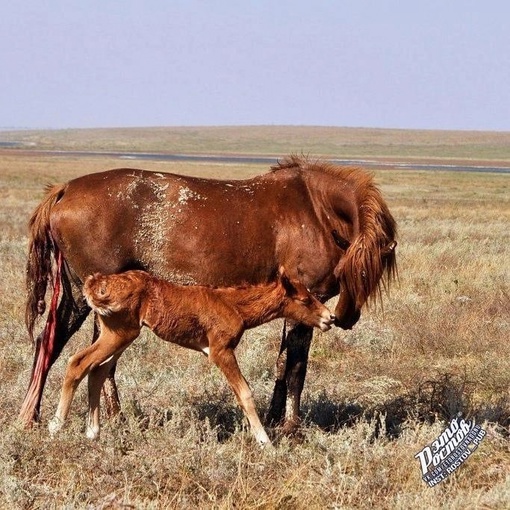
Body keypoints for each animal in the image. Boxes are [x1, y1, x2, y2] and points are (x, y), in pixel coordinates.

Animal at [47, 268, 334, 444]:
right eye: (305, 300)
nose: (329, 318)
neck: (235, 305)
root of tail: (100, 284)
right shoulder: (220, 351)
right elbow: (245, 393)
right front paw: (265, 442)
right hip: (120, 334)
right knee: (78, 362)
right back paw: (56, 425)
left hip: (119, 335)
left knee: (96, 370)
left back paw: (93, 431)